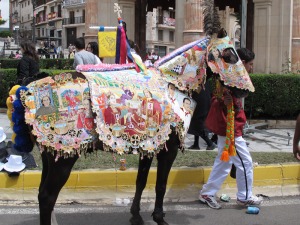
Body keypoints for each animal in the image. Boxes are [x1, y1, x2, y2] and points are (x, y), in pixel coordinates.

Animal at [8, 0, 254, 224]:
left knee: (42, 194)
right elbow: (160, 184)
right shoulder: (169, 148)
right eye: (229, 55)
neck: (172, 83)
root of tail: (27, 90)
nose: (244, 92)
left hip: (51, 154)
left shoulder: (151, 143)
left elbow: (141, 181)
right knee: (47, 197)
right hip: (64, 156)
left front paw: (136, 215)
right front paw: (159, 217)